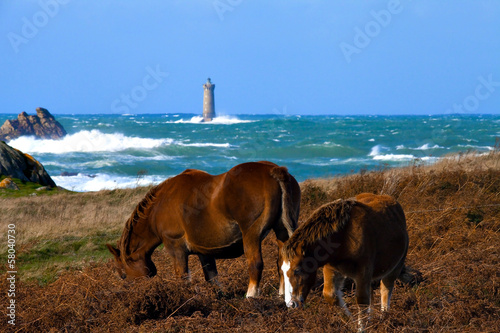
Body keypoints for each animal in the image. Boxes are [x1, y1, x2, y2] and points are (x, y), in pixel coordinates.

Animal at [107, 160, 298, 296]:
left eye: (123, 274)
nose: (134, 293)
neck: (160, 205)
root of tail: (274, 171)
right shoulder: (204, 251)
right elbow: (211, 277)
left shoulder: (176, 248)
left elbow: (182, 276)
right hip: (282, 232)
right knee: (283, 261)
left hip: (251, 235)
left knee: (255, 264)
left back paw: (250, 296)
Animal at [280, 192, 408, 330]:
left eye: (297, 270)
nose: (291, 304)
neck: (343, 237)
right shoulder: (331, 269)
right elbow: (330, 295)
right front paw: (352, 322)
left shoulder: (363, 271)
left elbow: (362, 300)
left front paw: (361, 328)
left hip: (396, 267)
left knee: (386, 288)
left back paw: (383, 318)